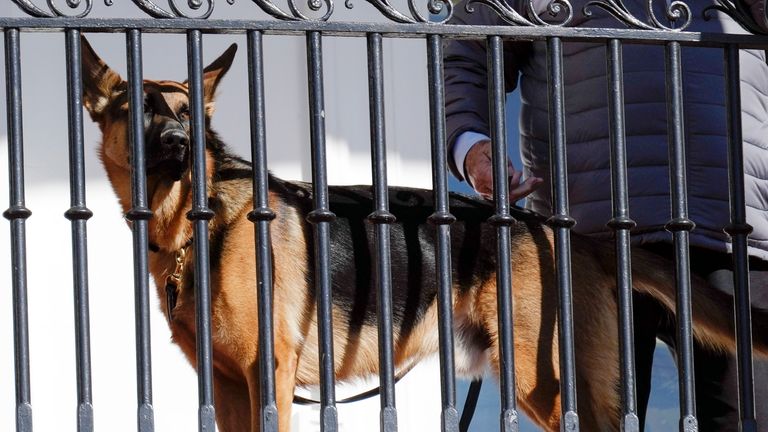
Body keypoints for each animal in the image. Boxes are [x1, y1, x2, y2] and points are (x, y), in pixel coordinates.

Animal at [82, 38, 768, 432]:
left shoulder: (266, 375)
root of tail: (565, 231)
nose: (179, 144)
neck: (193, 222)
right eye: (138, 111)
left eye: (186, 115)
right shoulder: (227, 387)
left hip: (544, 380)